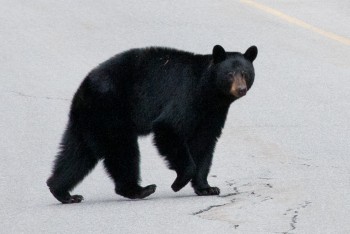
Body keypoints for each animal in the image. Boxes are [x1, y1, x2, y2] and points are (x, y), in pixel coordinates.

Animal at [46, 45, 258, 203]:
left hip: (89, 120)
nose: (241, 89)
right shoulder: (186, 96)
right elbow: (168, 128)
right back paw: (139, 190)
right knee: (123, 151)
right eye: (229, 74)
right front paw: (179, 182)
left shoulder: (213, 113)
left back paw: (62, 192)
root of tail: (83, 87)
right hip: (110, 110)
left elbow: (205, 143)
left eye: (245, 73)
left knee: (78, 153)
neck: (209, 93)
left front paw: (207, 188)